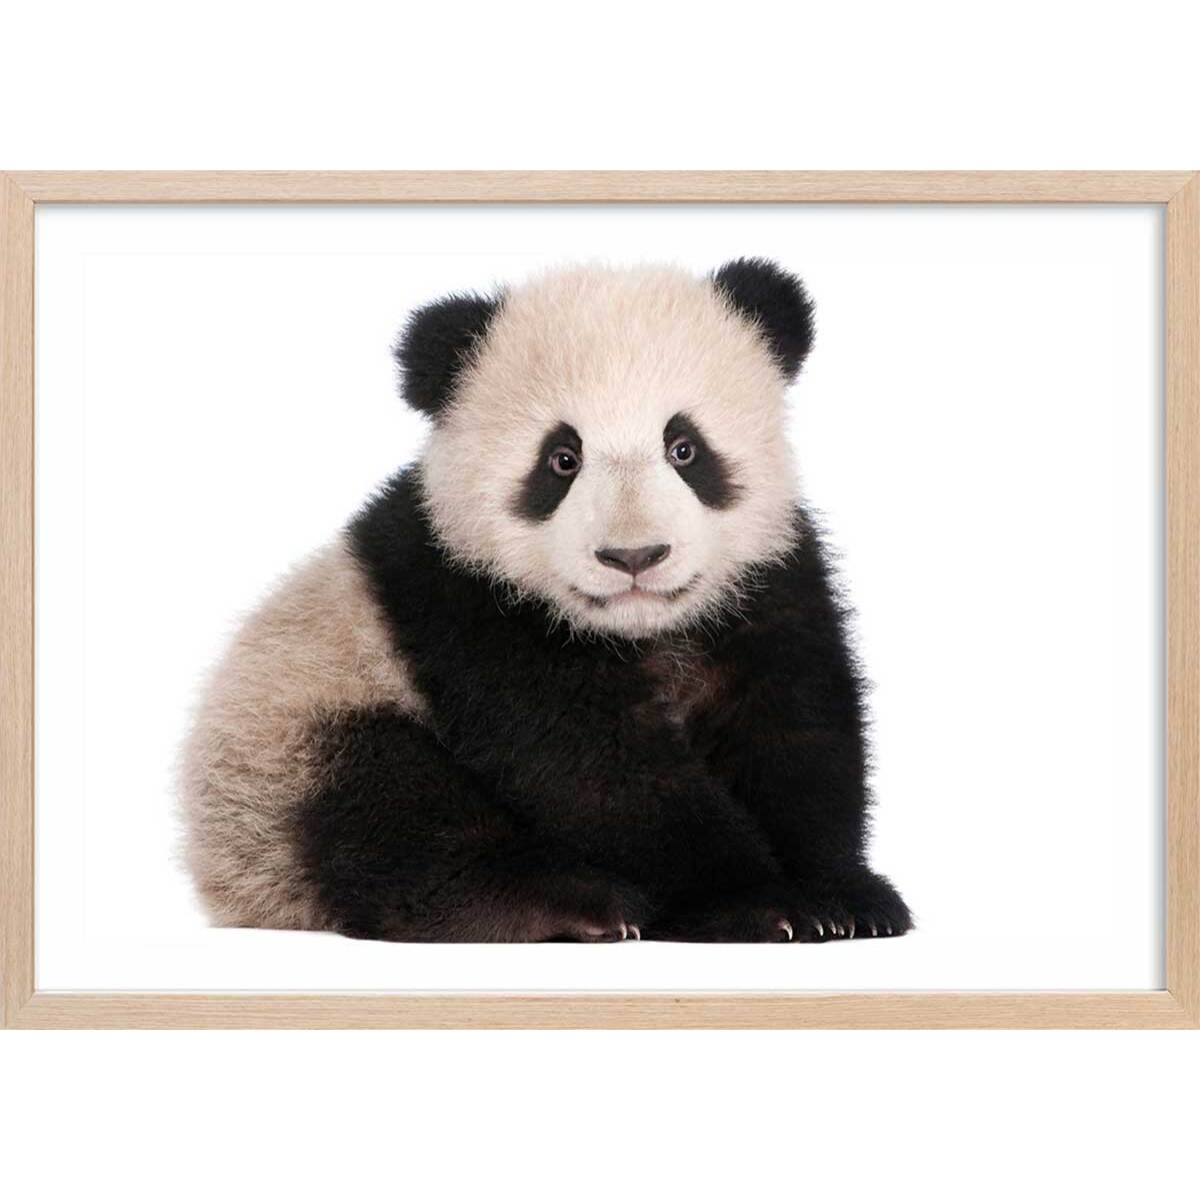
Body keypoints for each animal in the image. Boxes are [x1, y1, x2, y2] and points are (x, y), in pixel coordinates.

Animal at [179, 258, 911, 943]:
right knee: (391, 811)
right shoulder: (467, 605)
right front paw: (758, 901)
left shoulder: (765, 583)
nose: (634, 557)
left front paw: (846, 896)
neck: (641, 628)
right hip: (287, 741)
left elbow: (795, 726)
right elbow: (591, 764)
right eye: (562, 459)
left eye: (684, 448)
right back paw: (563, 904)